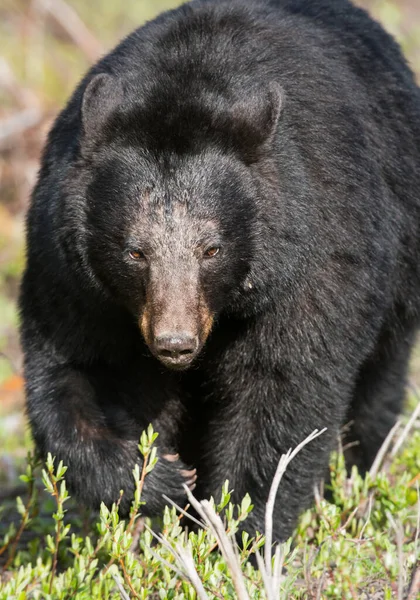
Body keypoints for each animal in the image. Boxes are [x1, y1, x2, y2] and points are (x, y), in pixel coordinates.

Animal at [18, 0, 420, 544]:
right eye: (135, 252)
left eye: (211, 249)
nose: (174, 343)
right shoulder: (71, 272)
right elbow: (73, 372)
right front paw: (159, 481)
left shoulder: (315, 258)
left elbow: (282, 392)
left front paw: (239, 528)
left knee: (377, 388)